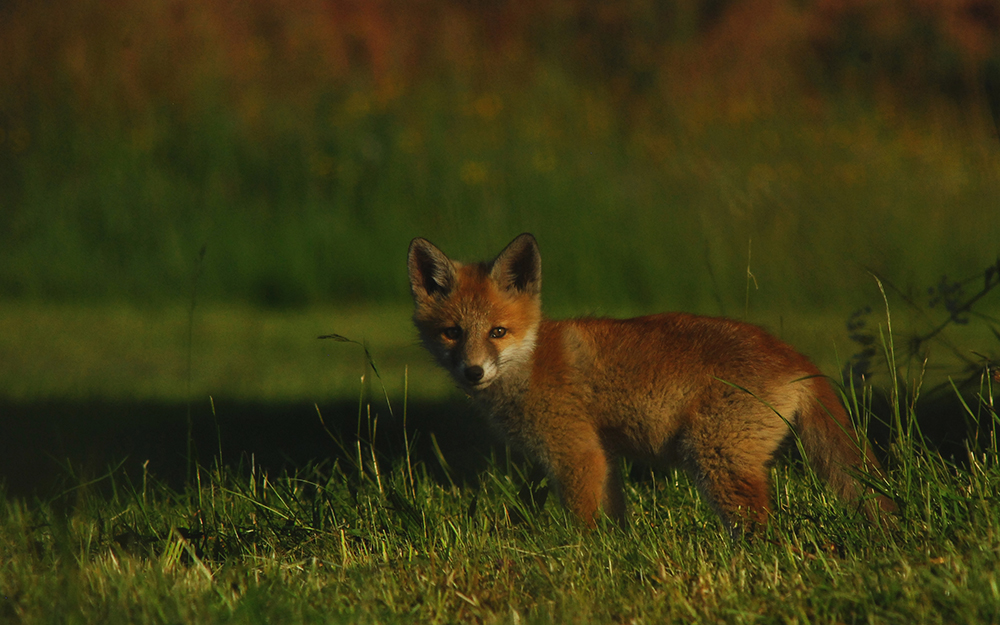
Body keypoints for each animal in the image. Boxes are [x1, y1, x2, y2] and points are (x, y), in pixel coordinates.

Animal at [406, 234, 900, 532]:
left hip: (713, 457)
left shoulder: (576, 454)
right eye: (452, 333)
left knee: (762, 529)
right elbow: (615, 520)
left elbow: (585, 525)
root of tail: (794, 356)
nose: (473, 372)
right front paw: (618, 554)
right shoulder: (604, 456)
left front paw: (584, 562)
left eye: (497, 332)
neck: (530, 362)